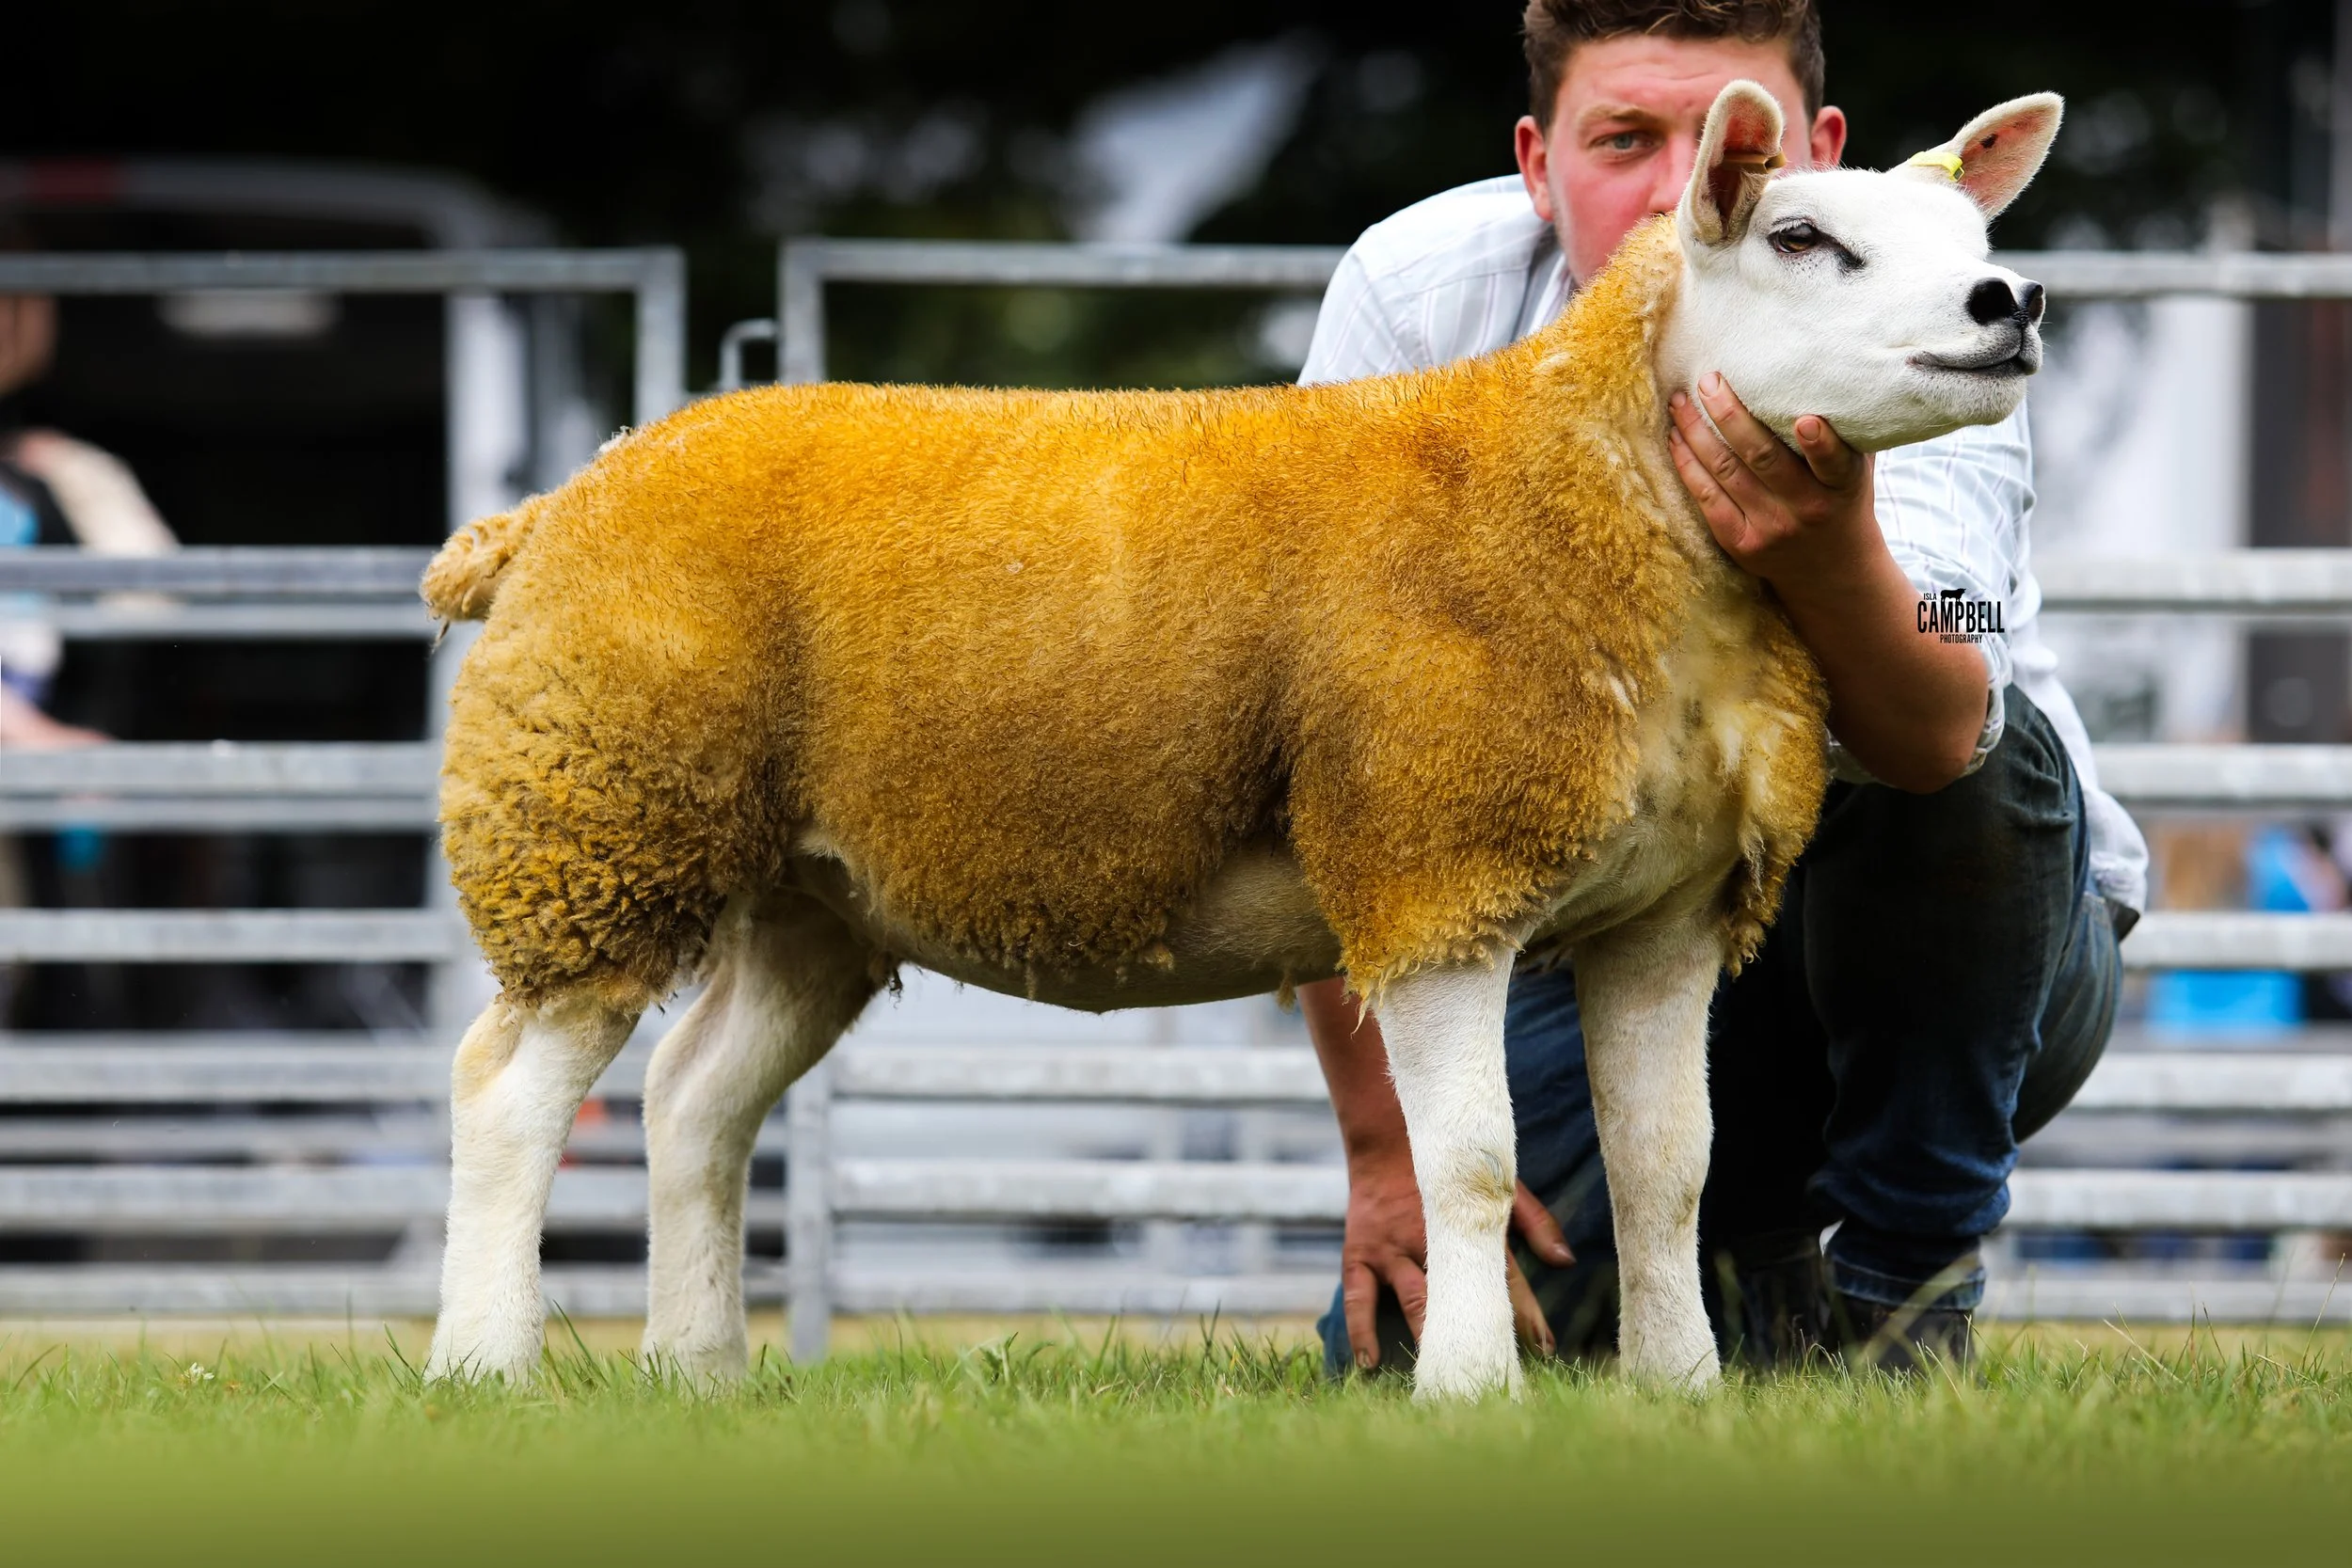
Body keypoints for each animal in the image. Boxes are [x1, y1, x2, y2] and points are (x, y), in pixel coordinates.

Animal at [418, 82, 2063, 1398]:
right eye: (1802, 239)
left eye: (1957, 230)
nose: (2010, 301)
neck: (1585, 483)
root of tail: (555, 506)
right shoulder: (1435, 860)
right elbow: (1473, 1161)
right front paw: (1471, 1389)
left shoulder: (1664, 913)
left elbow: (1669, 1172)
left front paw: (1679, 1390)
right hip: (598, 809)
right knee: (507, 1092)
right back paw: (484, 1364)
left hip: (806, 886)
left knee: (694, 1101)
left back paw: (695, 1372)